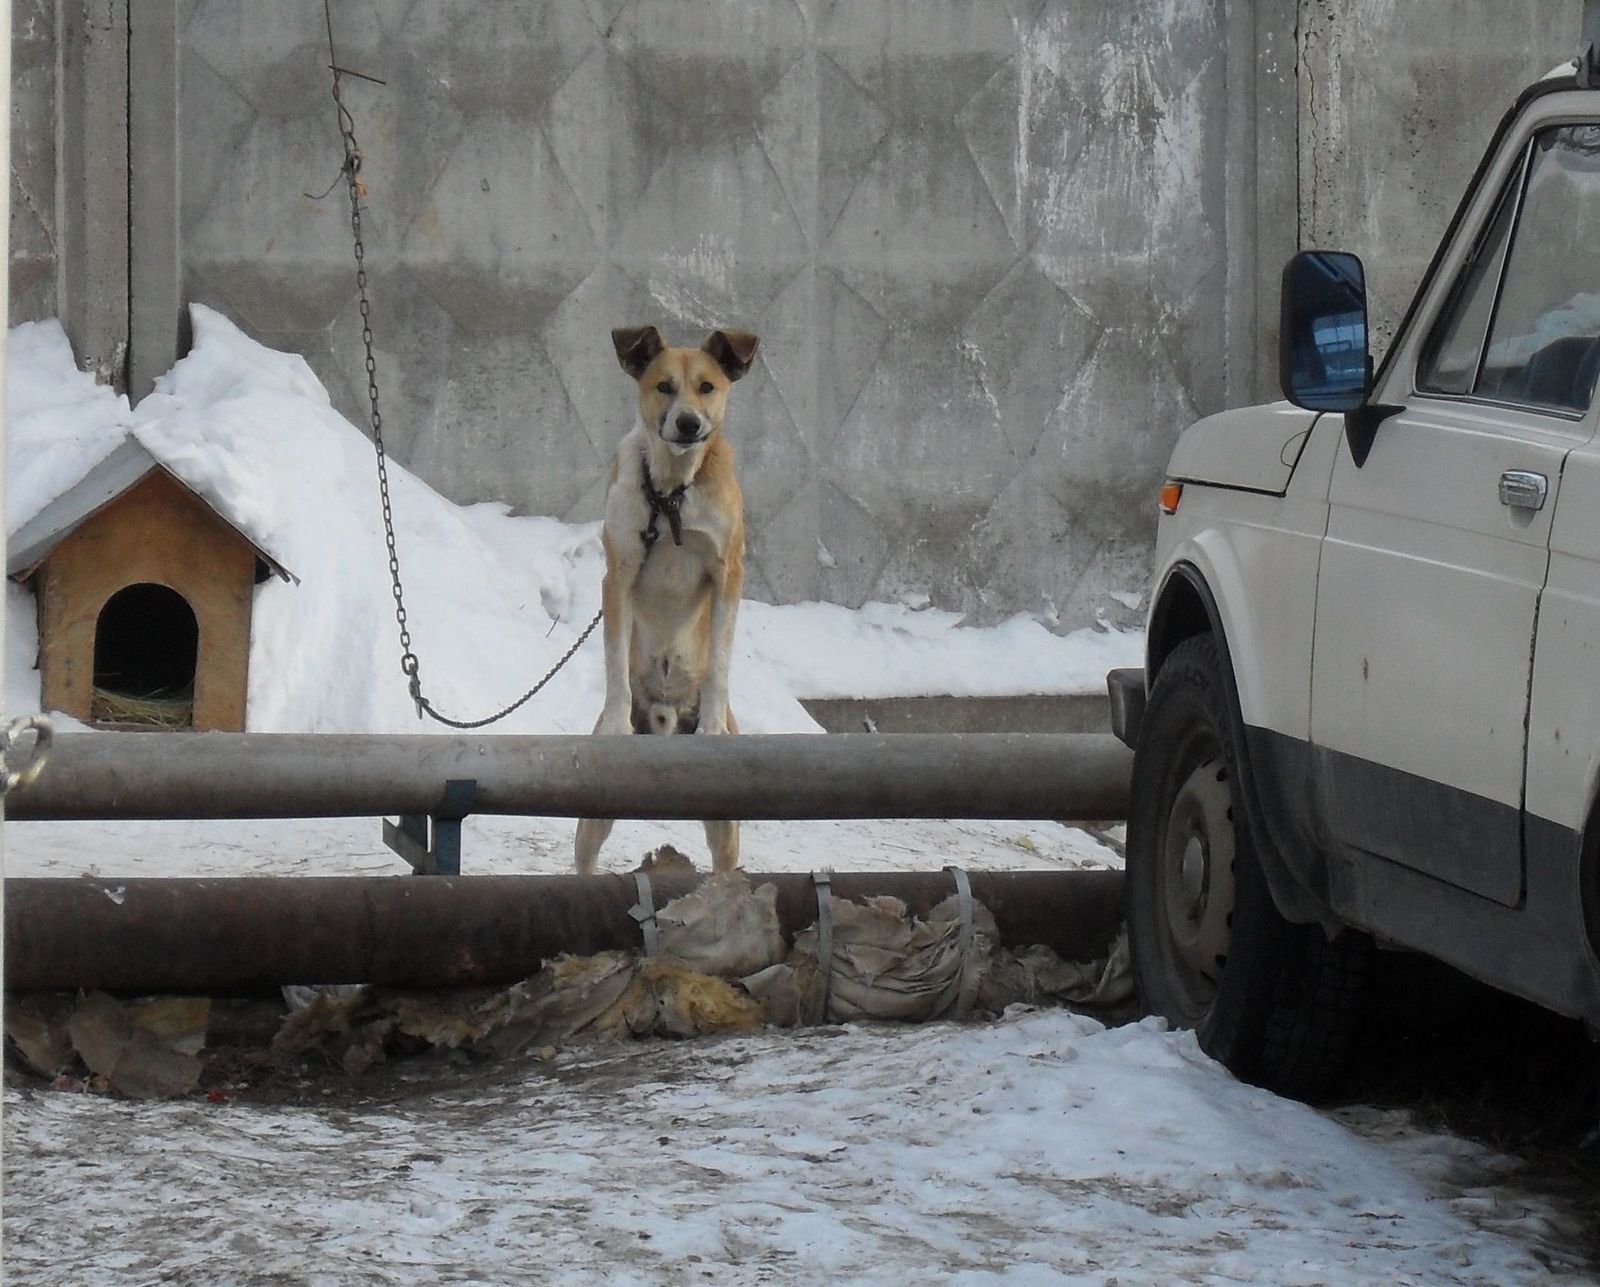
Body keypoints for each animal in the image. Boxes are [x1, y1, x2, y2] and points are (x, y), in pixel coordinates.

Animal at [572, 321, 758, 877]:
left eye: (707, 387)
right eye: (663, 387)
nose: (689, 423)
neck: (673, 493)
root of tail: (665, 722)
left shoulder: (728, 573)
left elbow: (720, 661)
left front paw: (713, 727)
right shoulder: (618, 575)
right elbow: (613, 659)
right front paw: (616, 722)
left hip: (726, 824)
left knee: (724, 864)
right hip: (592, 820)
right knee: (585, 859)